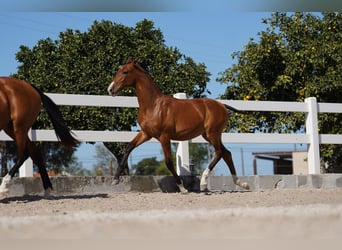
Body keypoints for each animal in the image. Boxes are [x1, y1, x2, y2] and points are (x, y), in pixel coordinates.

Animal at [108, 58, 250, 191]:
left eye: (125, 72)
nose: (110, 89)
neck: (153, 105)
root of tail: (222, 105)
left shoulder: (164, 137)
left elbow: (169, 162)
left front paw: (182, 187)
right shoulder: (146, 134)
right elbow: (128, 147)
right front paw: (115, 180)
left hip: (212, 133)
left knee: (219, 152)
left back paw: (204, 182)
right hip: (209, 135)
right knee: (226, 153)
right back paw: (242, 184)